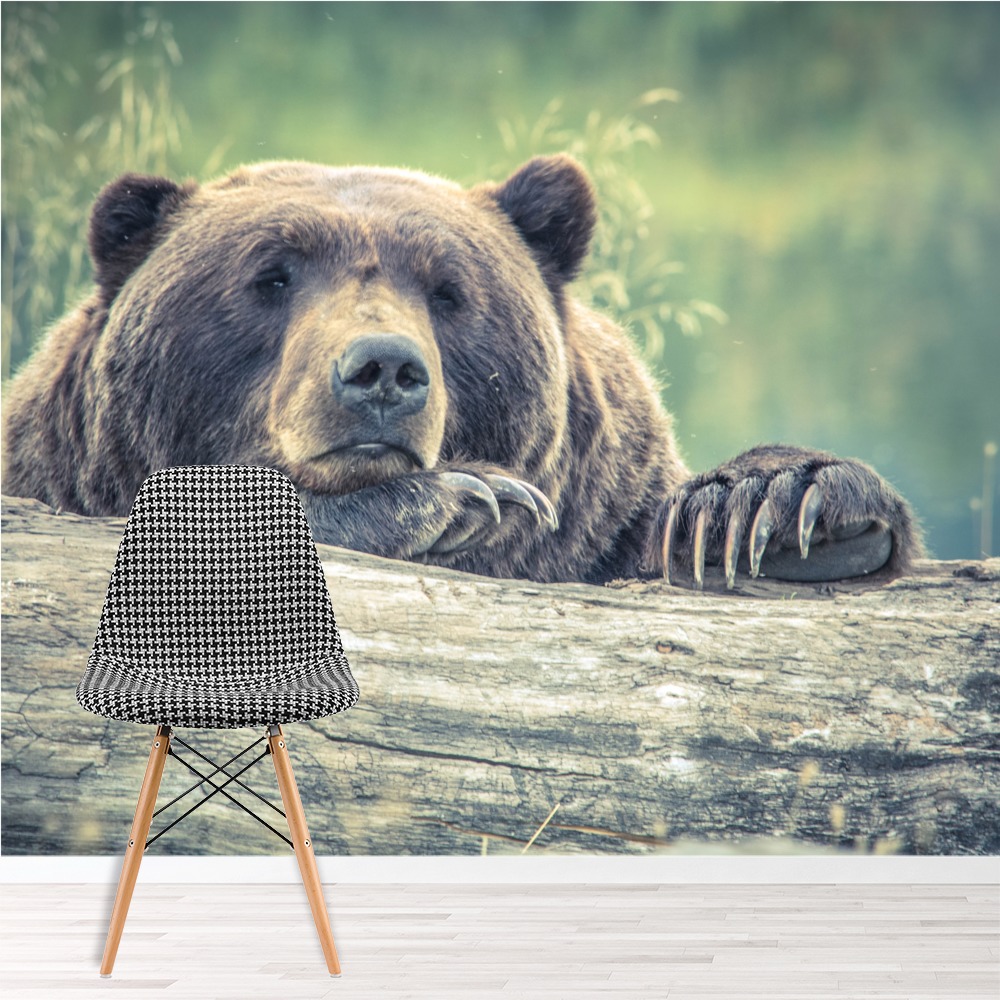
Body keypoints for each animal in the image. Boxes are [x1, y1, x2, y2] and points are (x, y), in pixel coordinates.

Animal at [1, 155, 921, 587]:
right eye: (271, 275)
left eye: (448, 290)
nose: (382, 369)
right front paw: (459, 499)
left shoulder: (605, 519)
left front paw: (768, 507)